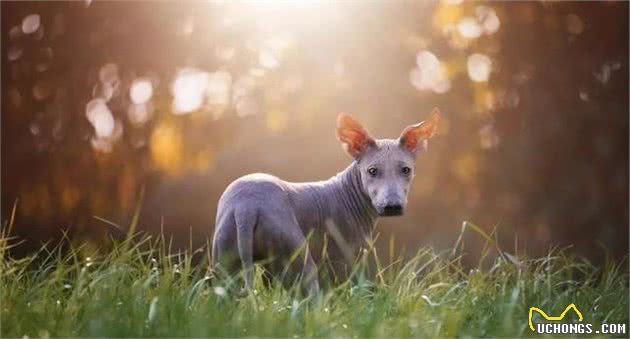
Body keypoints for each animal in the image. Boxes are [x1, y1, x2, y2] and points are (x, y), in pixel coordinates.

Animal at [212, 110, 440, 296]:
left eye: (406, 170)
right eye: (372, 171)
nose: (392, 206)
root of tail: (245, 207)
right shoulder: (347, 259)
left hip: (227, 262)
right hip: (297, 257)